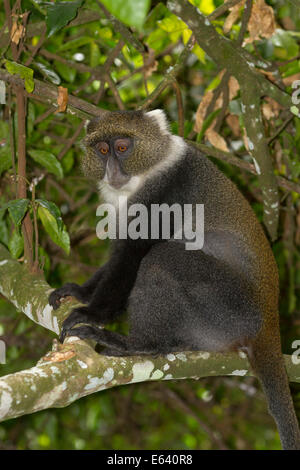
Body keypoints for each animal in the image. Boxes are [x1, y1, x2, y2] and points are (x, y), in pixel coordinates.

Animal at [49, 108, 300, 450]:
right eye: (102, 150)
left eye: (123, 147)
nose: (112, 169)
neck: (149, 169)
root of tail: (269, 323)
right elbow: (116, 258)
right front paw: (80, 292)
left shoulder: (163, 195)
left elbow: (132, 256)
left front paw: (91, 314)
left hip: (232, 309)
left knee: (162, 258)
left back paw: (140, 345)